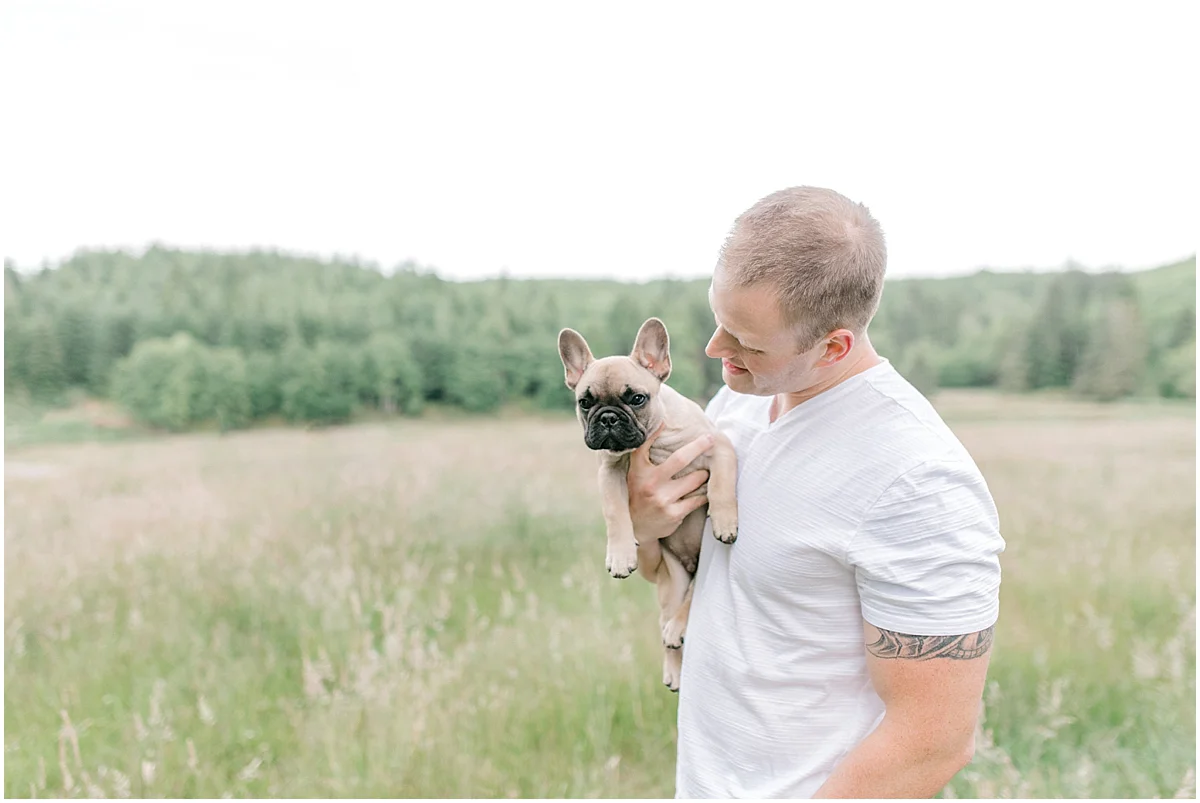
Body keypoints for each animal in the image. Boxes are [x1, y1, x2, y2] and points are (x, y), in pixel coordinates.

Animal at [554, 314, 734, 691]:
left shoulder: (719, 447)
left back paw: (678, 628)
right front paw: (621, 554)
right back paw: (673, 666)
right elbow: (616, 515)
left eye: (637, 398)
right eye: (584, 402)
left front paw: (725, 520)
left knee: (689, 606)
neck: (656, 442)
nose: (608, 417)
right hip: (672, 584)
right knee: (670, 623)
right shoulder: (609, 472)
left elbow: (723, 487)